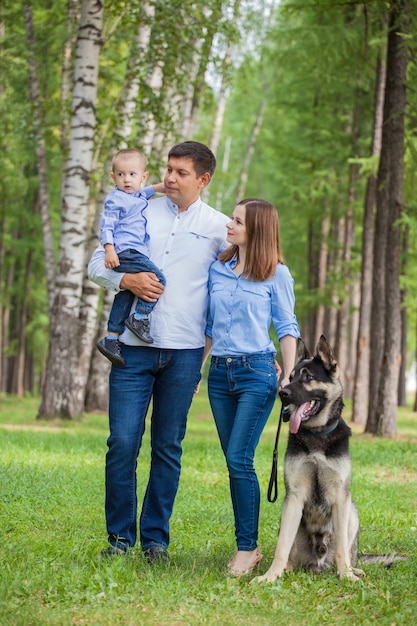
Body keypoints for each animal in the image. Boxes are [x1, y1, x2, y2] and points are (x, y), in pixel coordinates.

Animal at [254, 334, 364, 584]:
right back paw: (286, 569)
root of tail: (318, 562)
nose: (282, 393)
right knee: (290, 551)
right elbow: (281, 546)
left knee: (347, 550)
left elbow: (342, 548)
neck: (316, 435)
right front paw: (271, 575)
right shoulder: (294, 496)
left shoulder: (340, 496)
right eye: (291, 377)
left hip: (352, 512)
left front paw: (346, 575)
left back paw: (353, 569)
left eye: (308, 377)